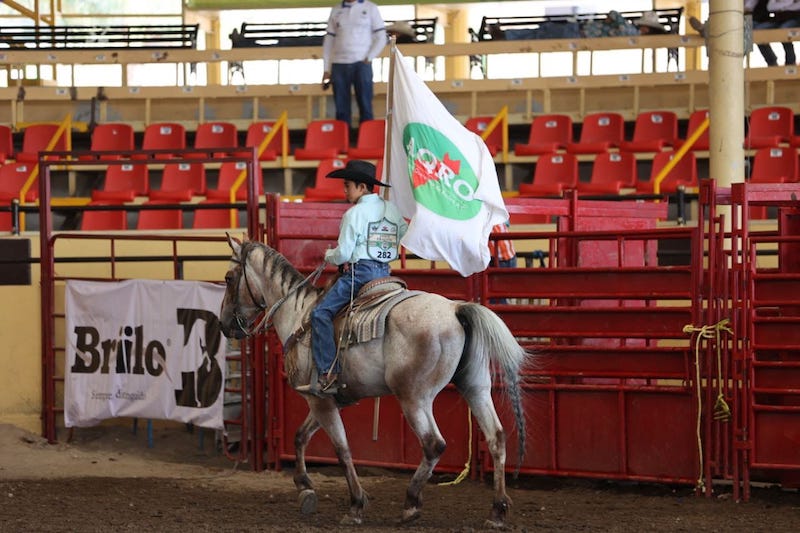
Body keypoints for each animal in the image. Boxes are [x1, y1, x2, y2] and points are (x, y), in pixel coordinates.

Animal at [219, 237, 532, 528]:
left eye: (228, 278)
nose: (224, 325)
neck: (300, 315)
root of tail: (456, 310)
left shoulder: (319, 400)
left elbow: (342, 449)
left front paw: (356, 505)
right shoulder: (325, 400)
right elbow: (300, 436)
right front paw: (305, 488)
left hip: (414, 397)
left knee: (434, 444)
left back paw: (411, 504)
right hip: (475, 387)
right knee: (496, 437)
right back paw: (497, 511)